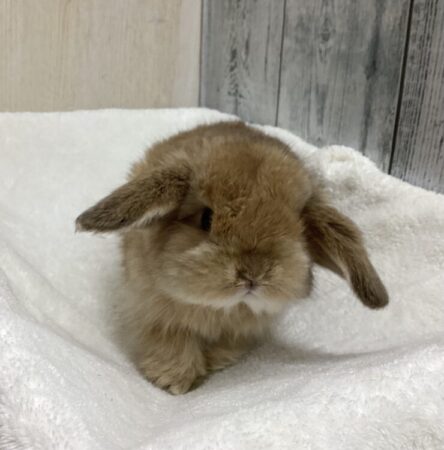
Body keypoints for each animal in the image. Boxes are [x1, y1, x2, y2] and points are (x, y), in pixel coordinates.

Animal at [76, 121, 388, 395]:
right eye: (206, 218)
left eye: (298, 228)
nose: (254, 274)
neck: (219, 308)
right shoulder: (152, 311)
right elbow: (171, 341)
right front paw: (174, 382)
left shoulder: (246, 328)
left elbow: (229, 345)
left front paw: (213, 362)